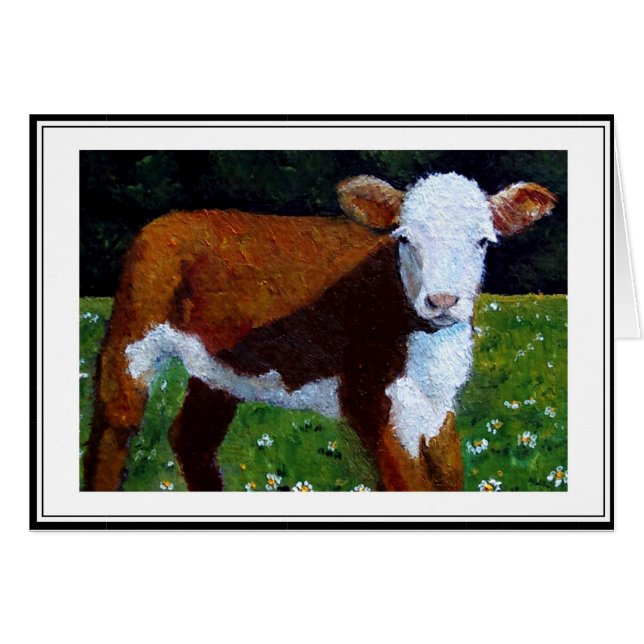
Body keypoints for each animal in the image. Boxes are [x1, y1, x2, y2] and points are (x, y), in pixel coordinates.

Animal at [83, 171, 557, 492]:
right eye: (405, 238)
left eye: (483, 241)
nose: (442, 301)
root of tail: (170, 220)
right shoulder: (372, 401)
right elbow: (411, 484)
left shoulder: (437, 408)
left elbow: (448, 477)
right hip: (132, 336)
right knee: (114, 428)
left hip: (218, 368)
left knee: (192, 439)